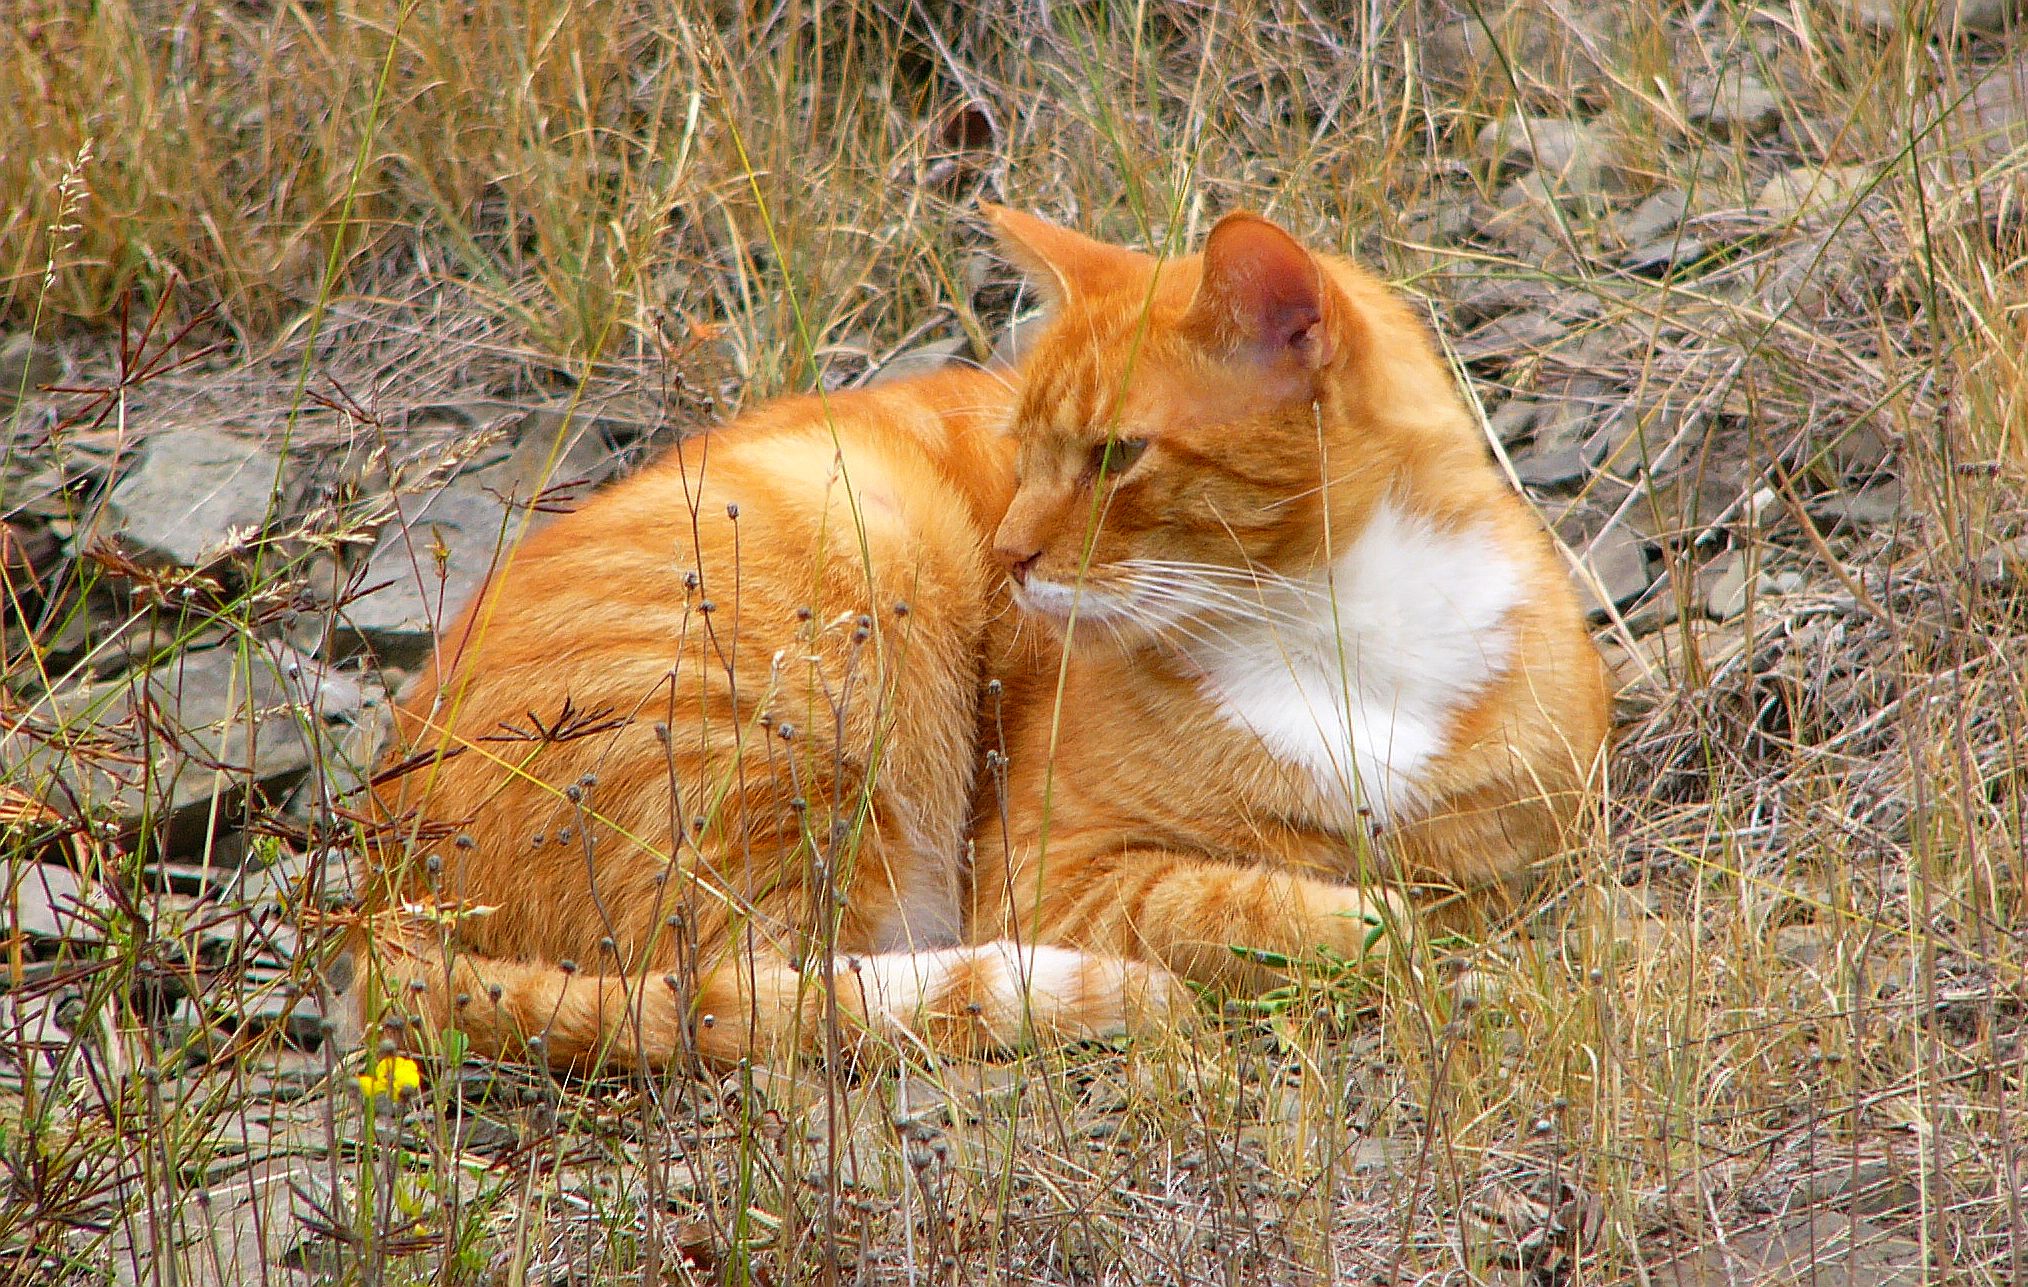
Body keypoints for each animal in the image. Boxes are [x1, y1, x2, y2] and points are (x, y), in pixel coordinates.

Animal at [969, 206, 1614, 993]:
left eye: (1117, 455)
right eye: (1021, 457)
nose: (1008, 553)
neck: (1338, 633)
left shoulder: (1527, 825)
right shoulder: (1039, 877)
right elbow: (1212, 903)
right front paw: (1365, 918)